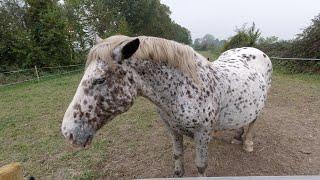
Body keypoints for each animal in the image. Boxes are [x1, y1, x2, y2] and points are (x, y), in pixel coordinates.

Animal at [61, 34, 272, 177]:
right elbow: (177, 158)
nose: (68, 132)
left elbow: (201, 166)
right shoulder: (172, 129)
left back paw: (247, 143)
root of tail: (256, 51)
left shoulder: (202, 134)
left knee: (254, 121)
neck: (184, 89)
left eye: (100, 79)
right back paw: (237, 136)